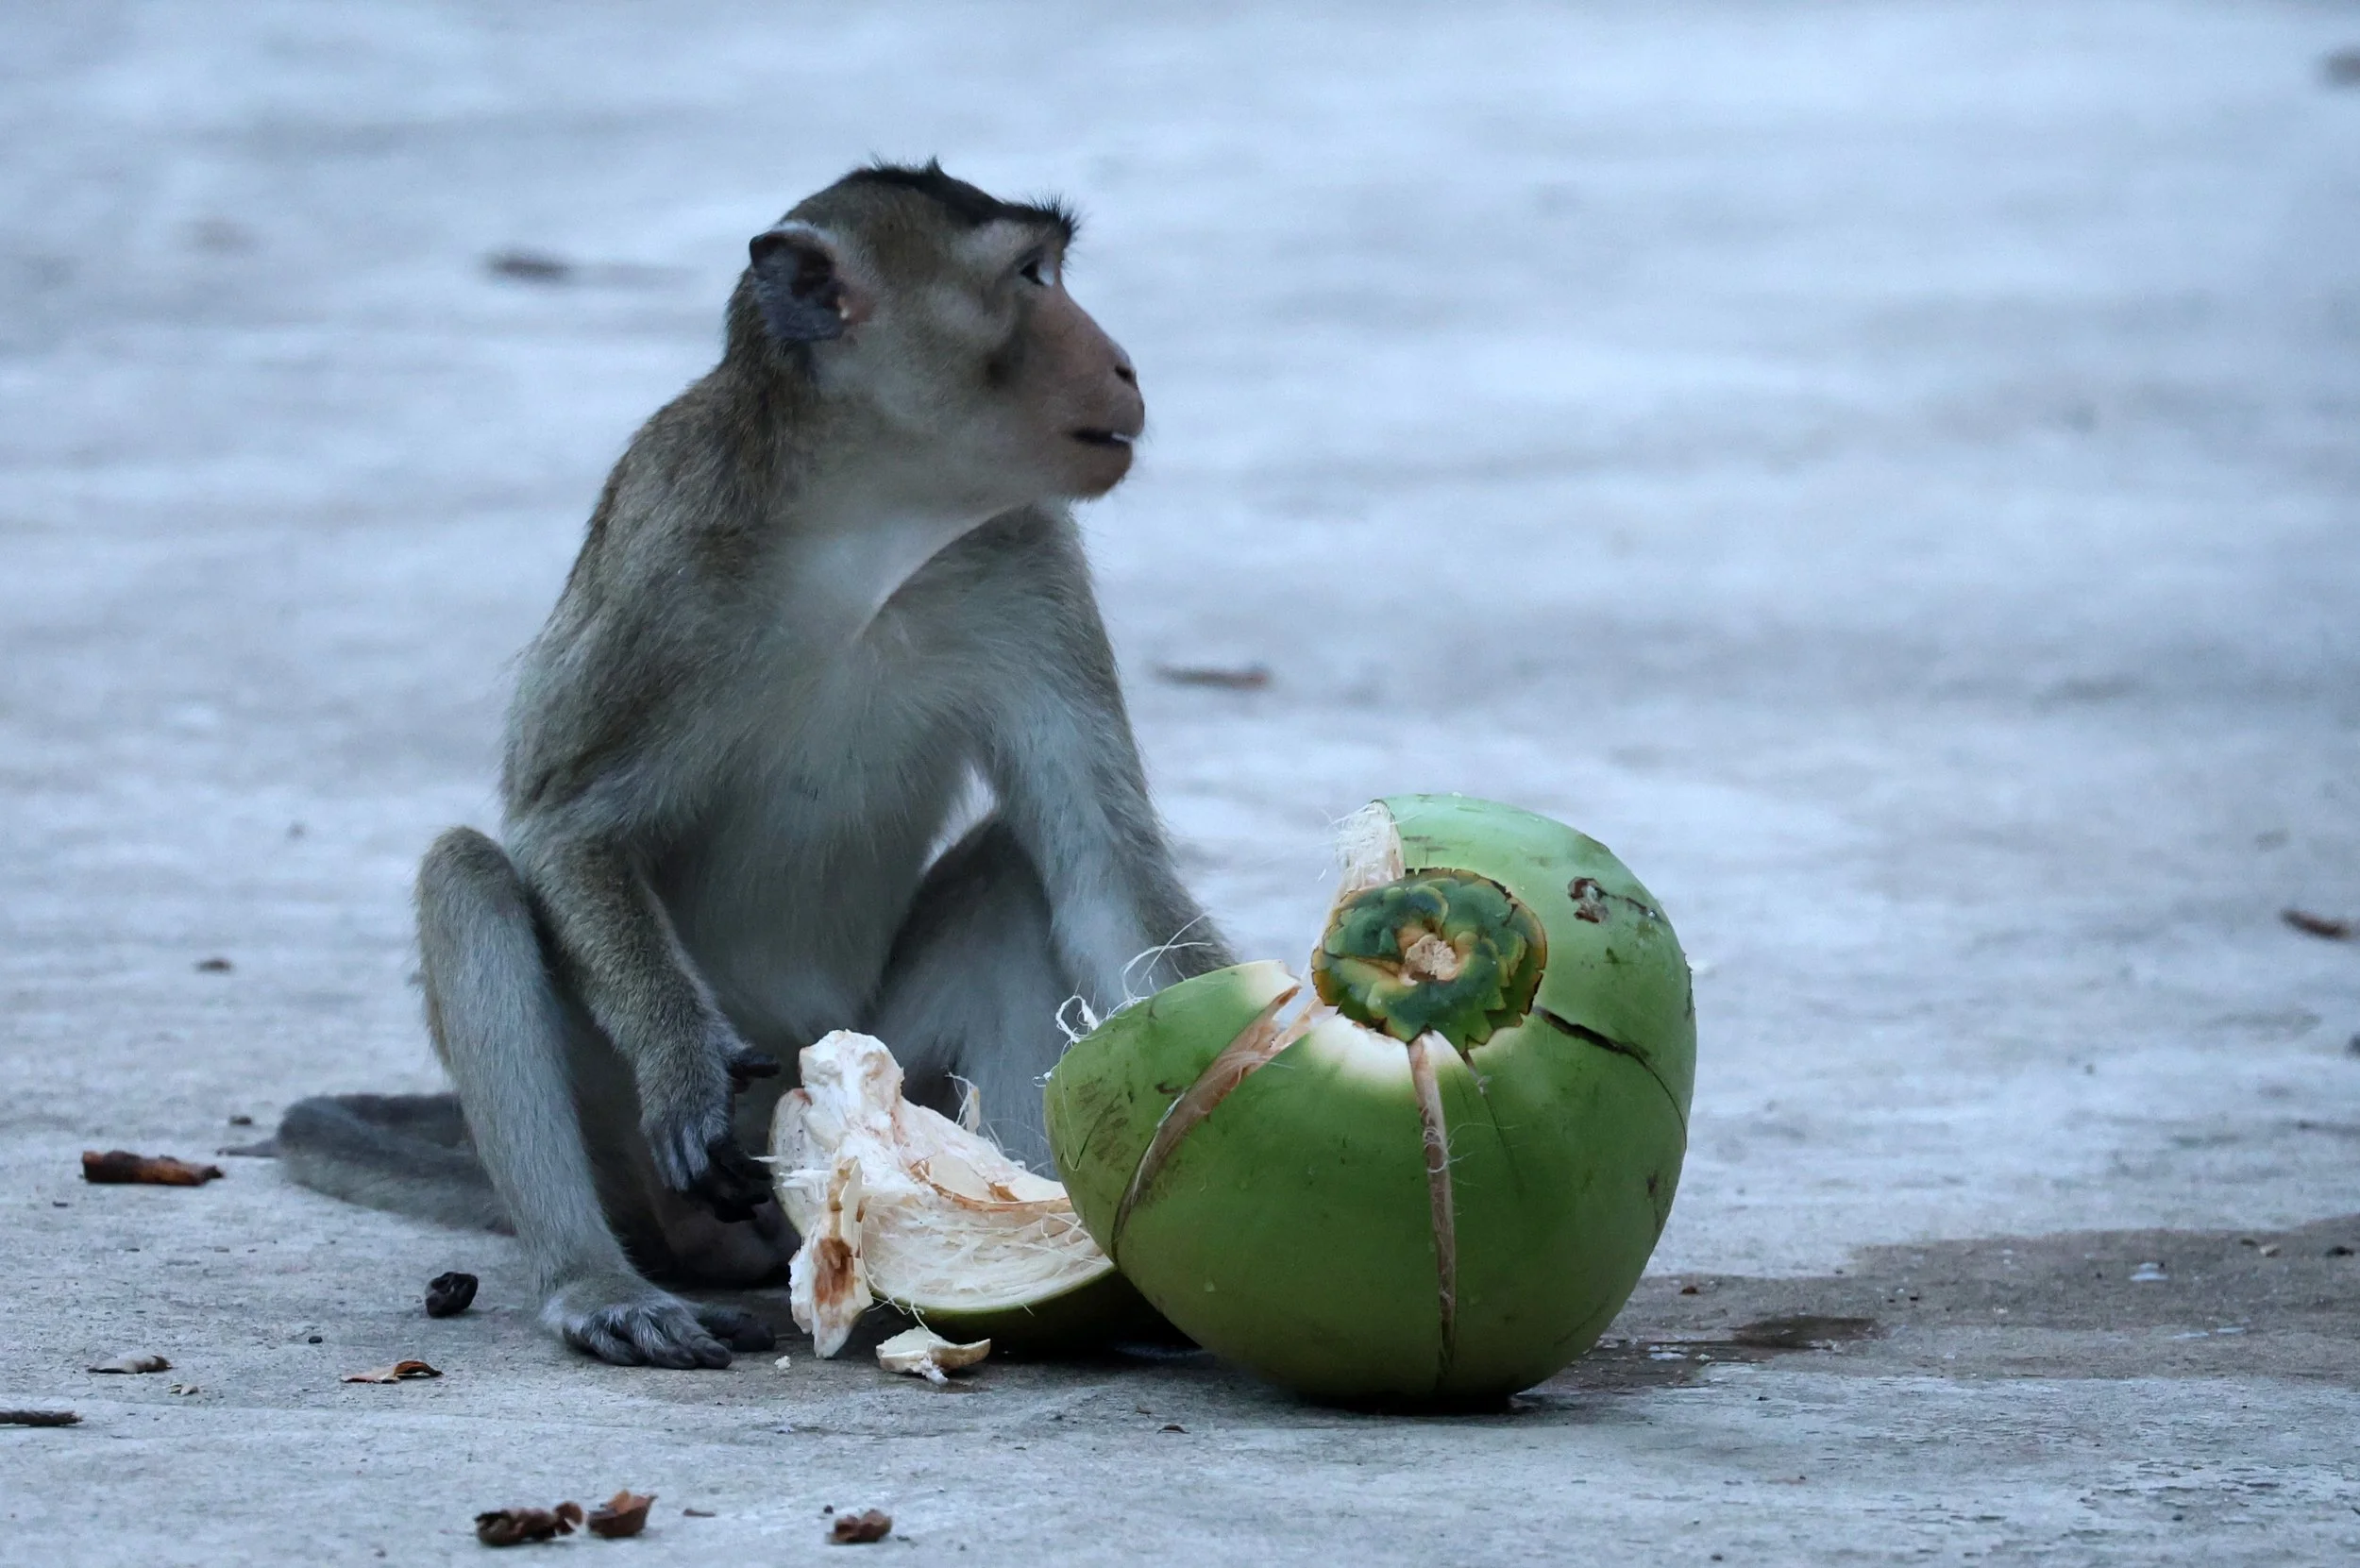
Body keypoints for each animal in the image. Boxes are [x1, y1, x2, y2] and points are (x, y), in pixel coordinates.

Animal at [279, 162, 1231, 1370]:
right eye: (1029, 277)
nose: (1121, 362)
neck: (865, 521)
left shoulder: (1026, 554)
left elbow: (1103, 874)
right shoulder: (666, 546)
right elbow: (562, 822)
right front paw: (679, 1058)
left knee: (1017, 874)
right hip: (634, 1150)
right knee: (468, 873)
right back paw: (596, 1282)